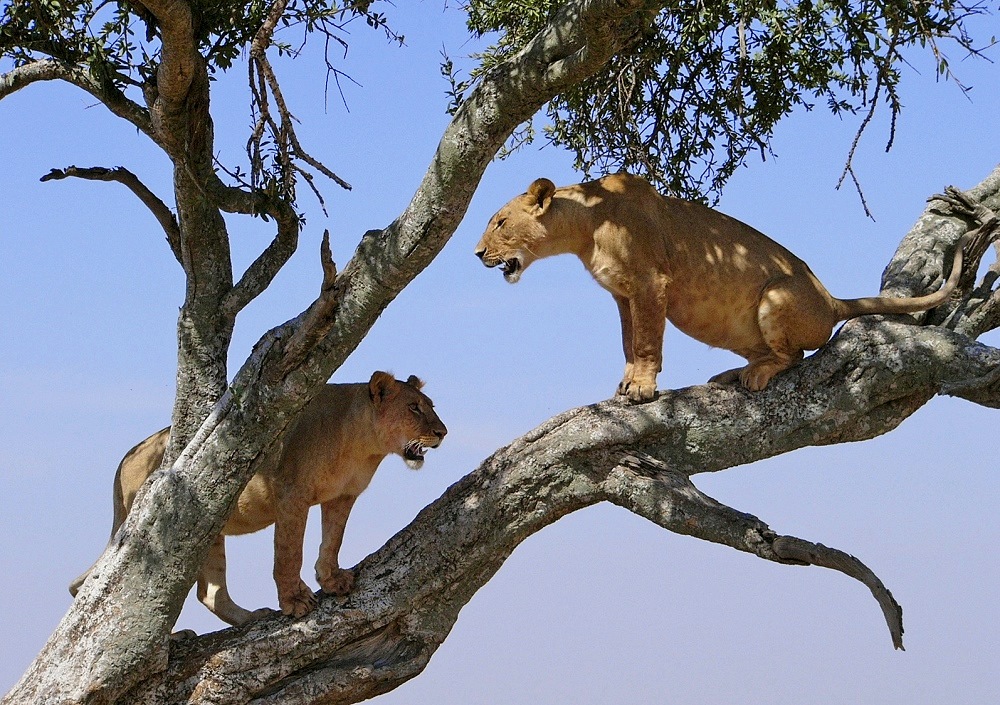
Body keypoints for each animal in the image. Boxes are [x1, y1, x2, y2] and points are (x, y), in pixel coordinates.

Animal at [68, 372, 448, 624]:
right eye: (414, 408)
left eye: (430, 406)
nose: (443, 432)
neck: (365, 446)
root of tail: (128, 456)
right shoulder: (292, 496)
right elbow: (288, 553)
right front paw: (295, 601)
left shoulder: (342, 497)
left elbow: (333, 539)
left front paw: (331, 579)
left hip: (207, 533)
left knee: (210, 593)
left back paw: (250, 617)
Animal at [476, 173, 968, 398]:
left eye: (500, 222)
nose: (477, 253)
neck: (586, 225)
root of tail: (831, 301)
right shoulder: (621, 294)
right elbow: (629, 341)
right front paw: (627, 380)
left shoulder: (650, 284)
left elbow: (648, 342)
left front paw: (642, 388)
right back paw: (731, 373)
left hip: (775, 295)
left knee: (794, 356)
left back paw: (756, 374)